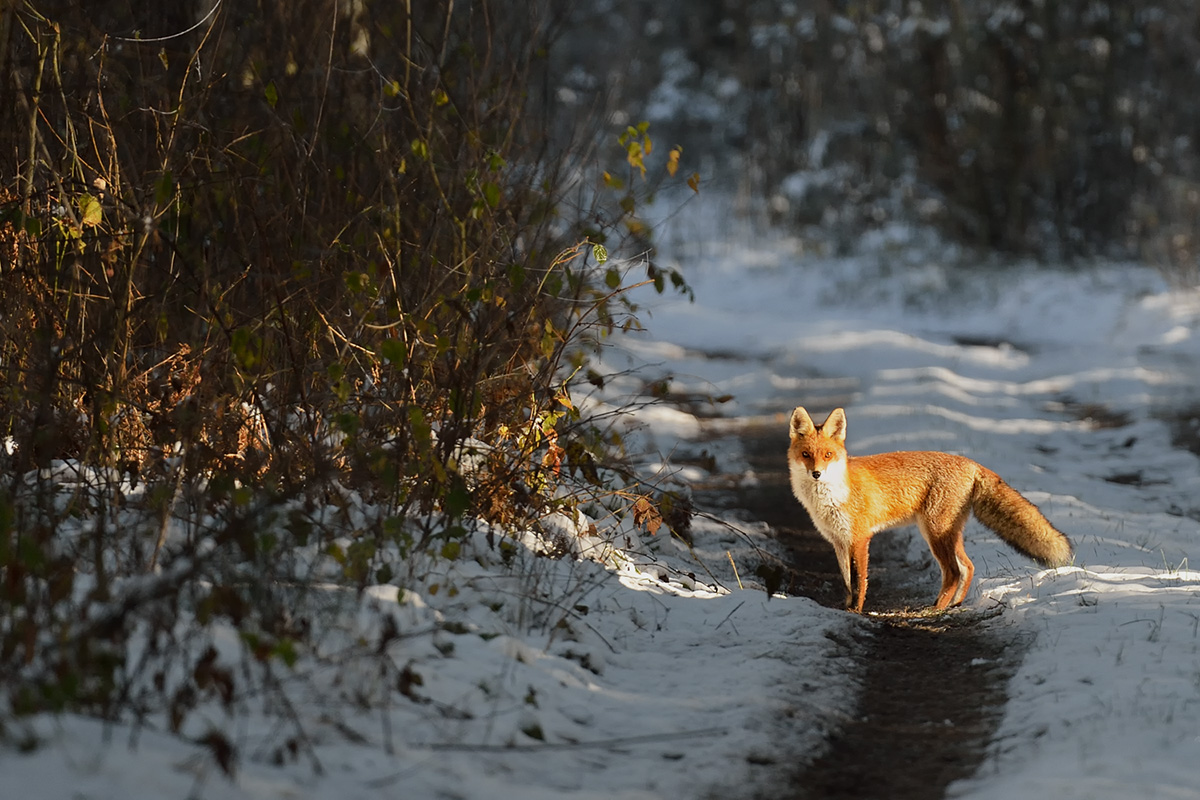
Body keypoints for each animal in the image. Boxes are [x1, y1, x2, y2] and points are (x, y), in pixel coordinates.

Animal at [787, 407, 1070, 614]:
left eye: (827, 454)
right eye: (806, 454)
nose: (816, 474)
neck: (831, 497)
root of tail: (971, 463)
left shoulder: (860, 538)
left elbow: (859, 582)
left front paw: (856, 610)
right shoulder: (838, 542)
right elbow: (846, 581)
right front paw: (845, 607)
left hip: (935, 532)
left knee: (953, 572)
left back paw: (936, 609)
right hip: (947, 533)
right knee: (968, 567)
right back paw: (954, 604)